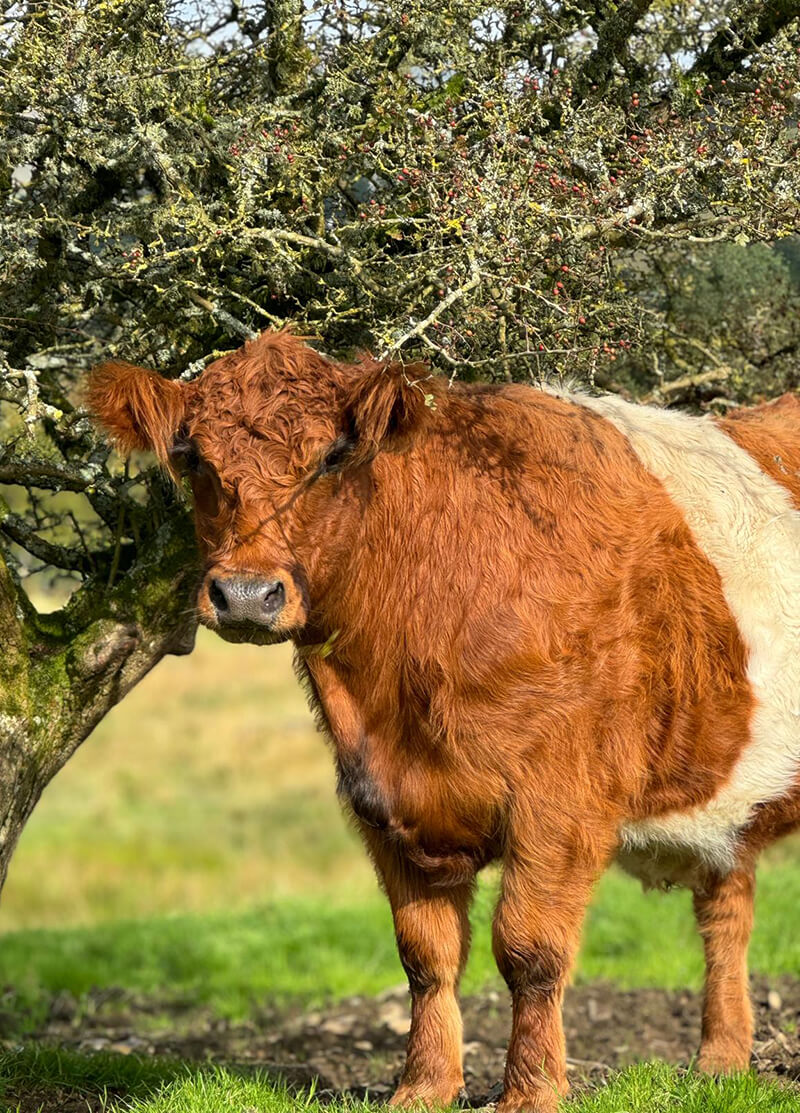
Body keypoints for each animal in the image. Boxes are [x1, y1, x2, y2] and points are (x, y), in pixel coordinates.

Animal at [87, 331, 800, 1113]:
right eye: (193, 459)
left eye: (332, 456)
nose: (246, 594)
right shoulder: (381, 800)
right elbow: (426, 954)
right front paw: (423, 1086)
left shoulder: (561, 801)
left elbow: (528, 948)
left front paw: (530, 1092)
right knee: (727, 914)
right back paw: (721, 1064)